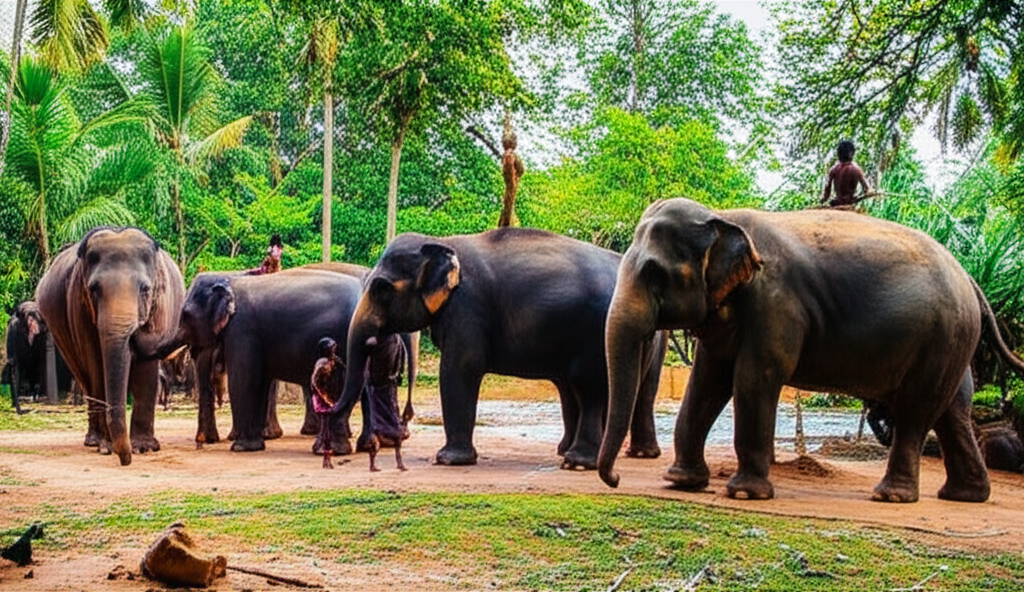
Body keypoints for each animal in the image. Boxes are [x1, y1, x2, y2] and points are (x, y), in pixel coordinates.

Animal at [36, 227, 185, 465]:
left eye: (145, 289)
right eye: (94, 289)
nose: (125, 460)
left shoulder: (161, 305)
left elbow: (146, 368)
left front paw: (143, 447)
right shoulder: (78, 305)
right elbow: (96, 363)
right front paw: (107, 448)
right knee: (85, 377)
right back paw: (93, 441)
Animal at [155, 268, 409, 453]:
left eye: (185, 315)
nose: (199, 444)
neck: (231, 278)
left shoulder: (242, 329)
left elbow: (244, 380)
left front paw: (241, 448)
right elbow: (260, 382)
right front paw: (254, 446)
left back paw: (330, 451)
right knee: (368, 387)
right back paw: (366, 447)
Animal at [333, 228, 667, 470]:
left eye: (382, 289)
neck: (443, 244)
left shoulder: (468, 308)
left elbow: (459, 369)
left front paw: (448, 460)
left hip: (596, 333)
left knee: (588, 387)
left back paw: (578, 463)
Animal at [598, 197, 1024, 503]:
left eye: (654, 273)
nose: (615, 479)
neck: (722, 217)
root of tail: (970, 277)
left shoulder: (775, 303)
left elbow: (755, 377)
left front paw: (744, 493)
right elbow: (706, 381)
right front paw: (681, 481)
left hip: (944, 335)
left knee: (916, 408)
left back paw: (891, 496)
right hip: (952, 341)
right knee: (953, 408)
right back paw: (964, 495)